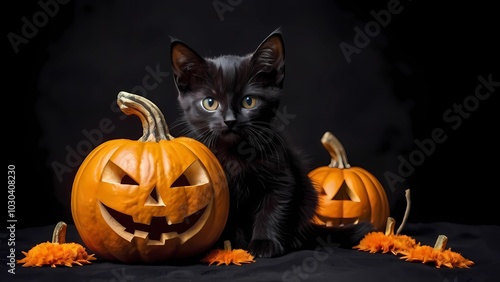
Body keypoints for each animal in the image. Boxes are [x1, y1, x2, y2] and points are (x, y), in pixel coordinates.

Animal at [170, 28, 374, 258]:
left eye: (249, 101)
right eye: (210, 103)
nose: (230, 121)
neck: (235, 153)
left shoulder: (282, 179)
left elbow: (273, 210)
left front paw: (264, 244)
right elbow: (229, 221)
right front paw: (232, 246)